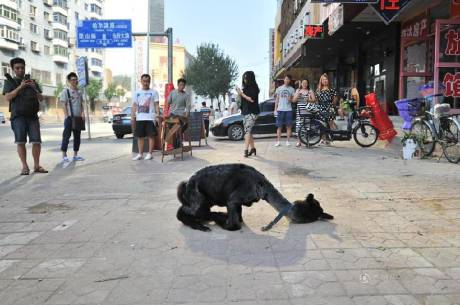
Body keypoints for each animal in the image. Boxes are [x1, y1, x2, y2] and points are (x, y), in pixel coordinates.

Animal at [177, 164, 334, 230]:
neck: (262, 186)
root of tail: (188, 184)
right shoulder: (233, 199)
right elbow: (234, 225)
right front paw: (223, 219)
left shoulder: (237, 202)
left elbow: (239, 216)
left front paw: (223, 217)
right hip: (198, 198)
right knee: (183, 212)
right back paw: (198, 224)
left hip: (206, 199)